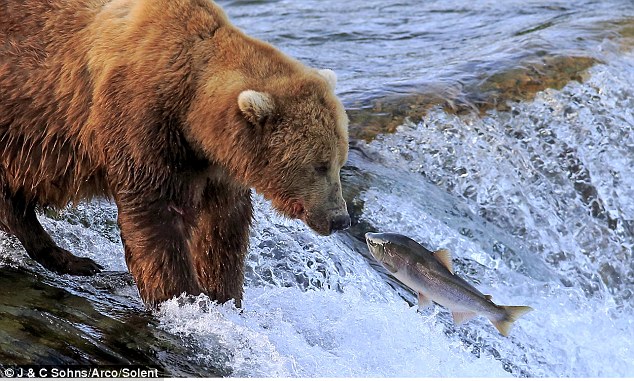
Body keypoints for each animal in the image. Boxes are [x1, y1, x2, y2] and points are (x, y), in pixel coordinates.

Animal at [0, 0, 348, 308]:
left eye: (339, 162)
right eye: (320, 165)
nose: (340, 218)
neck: (191, 113)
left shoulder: (214, 166)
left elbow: (223, 225)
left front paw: (223, 293)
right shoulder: (143, 124)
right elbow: (157, 215)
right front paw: (181, 297)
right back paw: (73, 259)